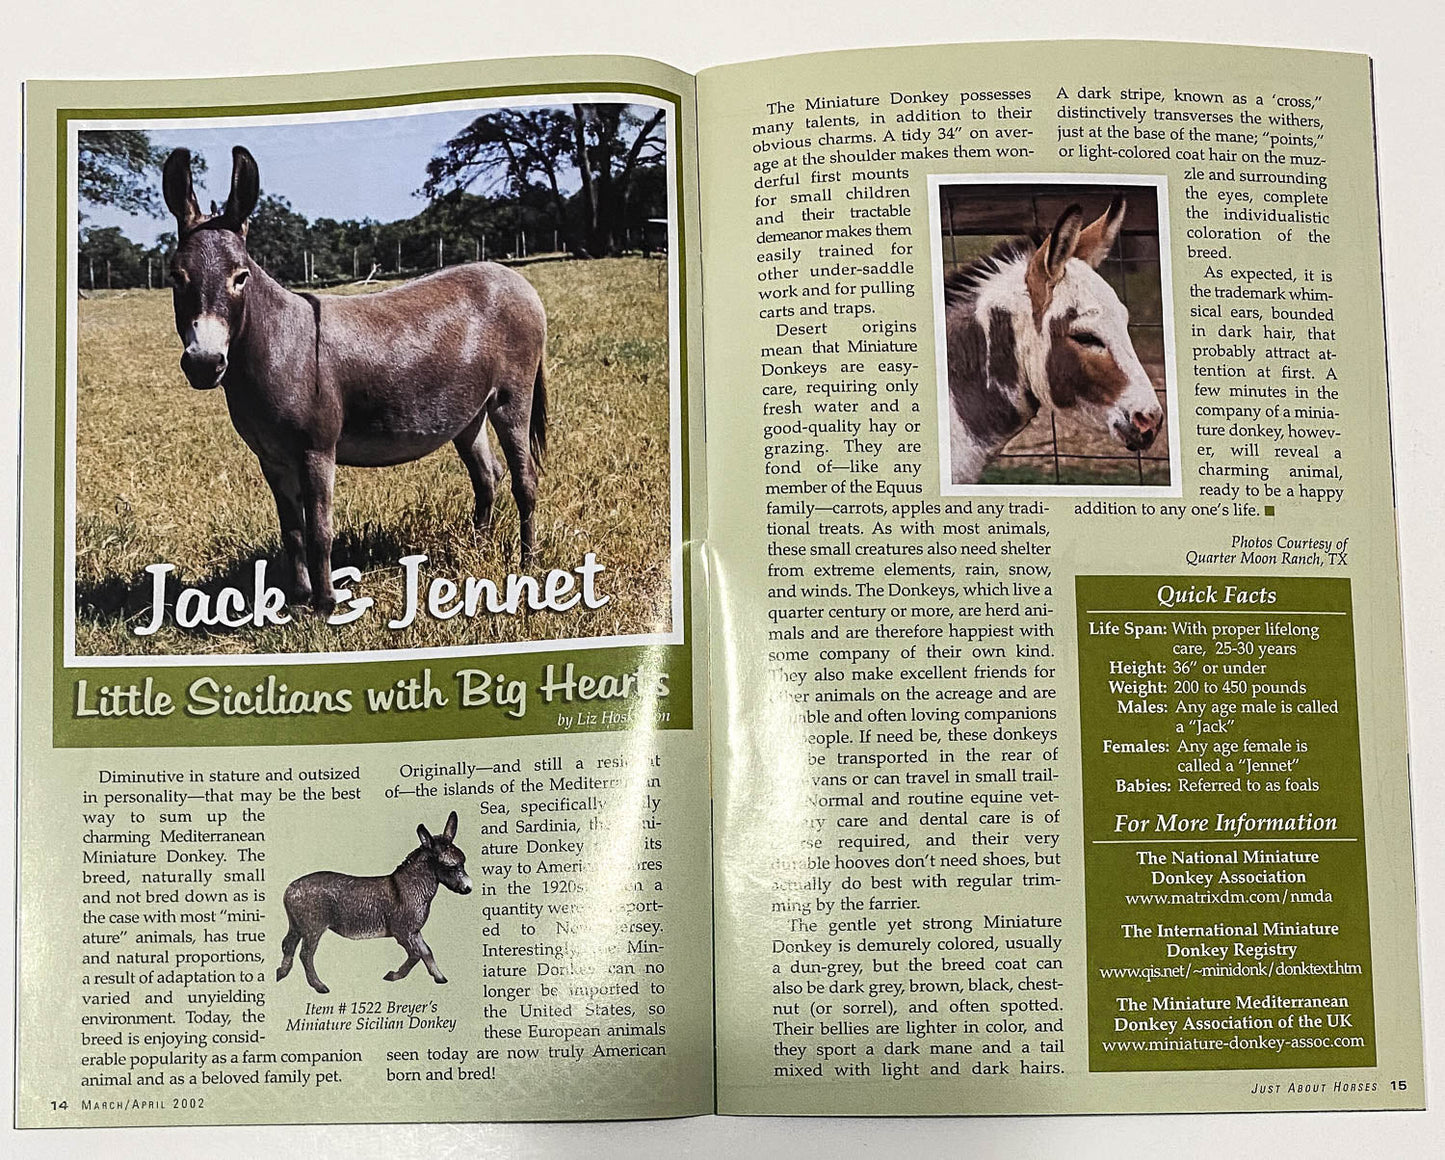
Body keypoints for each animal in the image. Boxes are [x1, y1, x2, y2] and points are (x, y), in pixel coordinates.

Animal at [162, 146, 547, 614]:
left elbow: (319, 531)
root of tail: (514, 277)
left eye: (241, 277)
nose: (204, 363)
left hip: (512, 397)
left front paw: (326, 604)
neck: (273, 344)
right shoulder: (272, 458)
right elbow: (291, 532)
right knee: (488, 475)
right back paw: (478, 546)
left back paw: (526, 563)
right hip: (466, 412)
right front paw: (297, 600)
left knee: (524, 479)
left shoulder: (316, 450)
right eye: (177, 277)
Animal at [276, 811, 471, 993]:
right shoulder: (403, 932)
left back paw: (281, 973)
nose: (468, 887)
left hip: (297, 926)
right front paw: (393, 976)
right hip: (313, 928)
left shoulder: (414, 932)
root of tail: (290, 888)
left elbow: (427, 952)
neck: (411, 886)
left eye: (463, 861)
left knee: (288, 944)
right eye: (450, 866)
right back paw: (319, 986)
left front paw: (440, 978)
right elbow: (416, 955)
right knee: (306, 954)